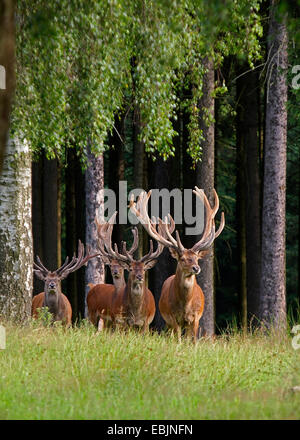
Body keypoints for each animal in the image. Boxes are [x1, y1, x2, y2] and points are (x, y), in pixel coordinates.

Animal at [129, 187, 225, 342]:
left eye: (197, 258)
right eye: (183, 259)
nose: (196, 268)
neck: (185, 305)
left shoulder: (195, 318)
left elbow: (193, 340)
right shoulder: (173, 318)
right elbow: (178, 340)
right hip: (167, 320)